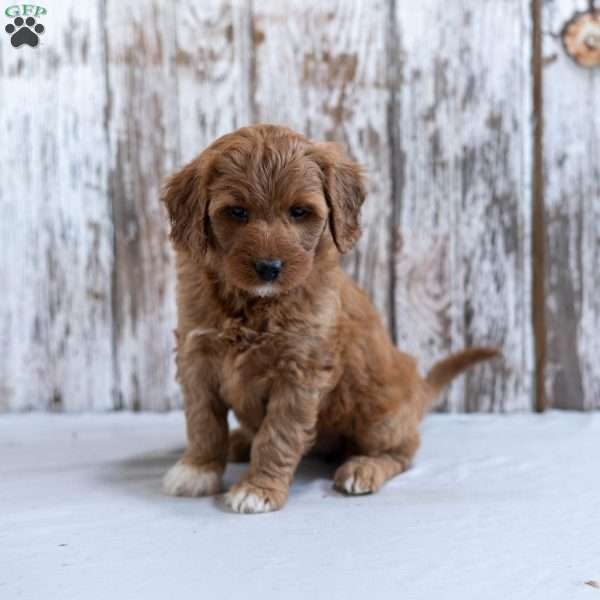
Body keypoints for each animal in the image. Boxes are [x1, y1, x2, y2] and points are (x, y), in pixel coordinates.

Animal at [161, 124, 496, 512]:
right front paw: (197, 469)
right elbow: (203, 422)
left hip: (380, 416)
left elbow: (277, 435)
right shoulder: (196, 355)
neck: (252, 303)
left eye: (299, 212)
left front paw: (258, 489)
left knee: (404, 450)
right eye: (238, 212)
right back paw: (240, 439)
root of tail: (419, 390)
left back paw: (363, 468)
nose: (269, 267)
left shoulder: (300, 371)